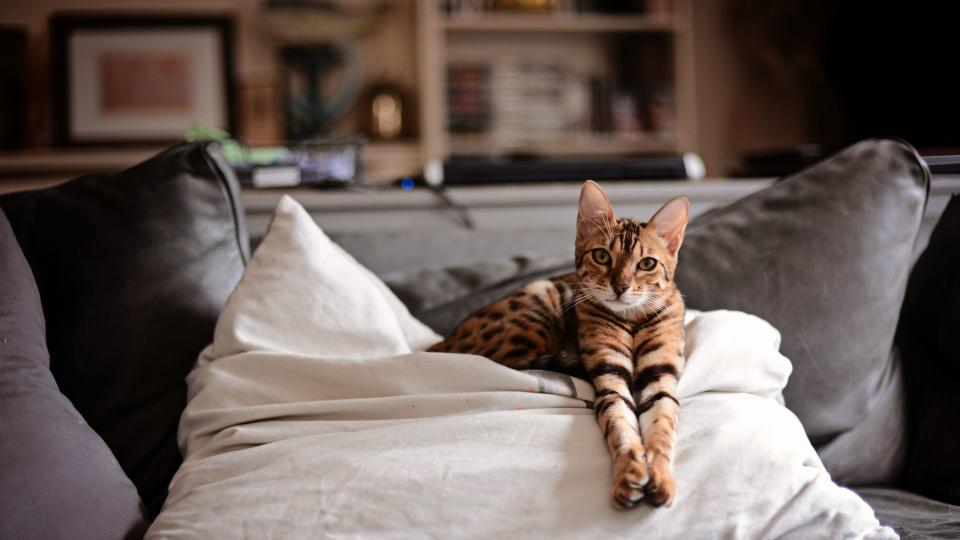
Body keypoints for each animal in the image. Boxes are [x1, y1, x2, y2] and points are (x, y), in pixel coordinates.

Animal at [430, 181, 688, 510]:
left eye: (647, 264)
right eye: (601, 256)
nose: (620, 287)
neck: (629, 320)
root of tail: (443, 342)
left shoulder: (660, 374)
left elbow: (661, 429)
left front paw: (661, 477)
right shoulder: (610, 373)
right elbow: (619, 426)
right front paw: (628, 472)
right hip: (537, 302)